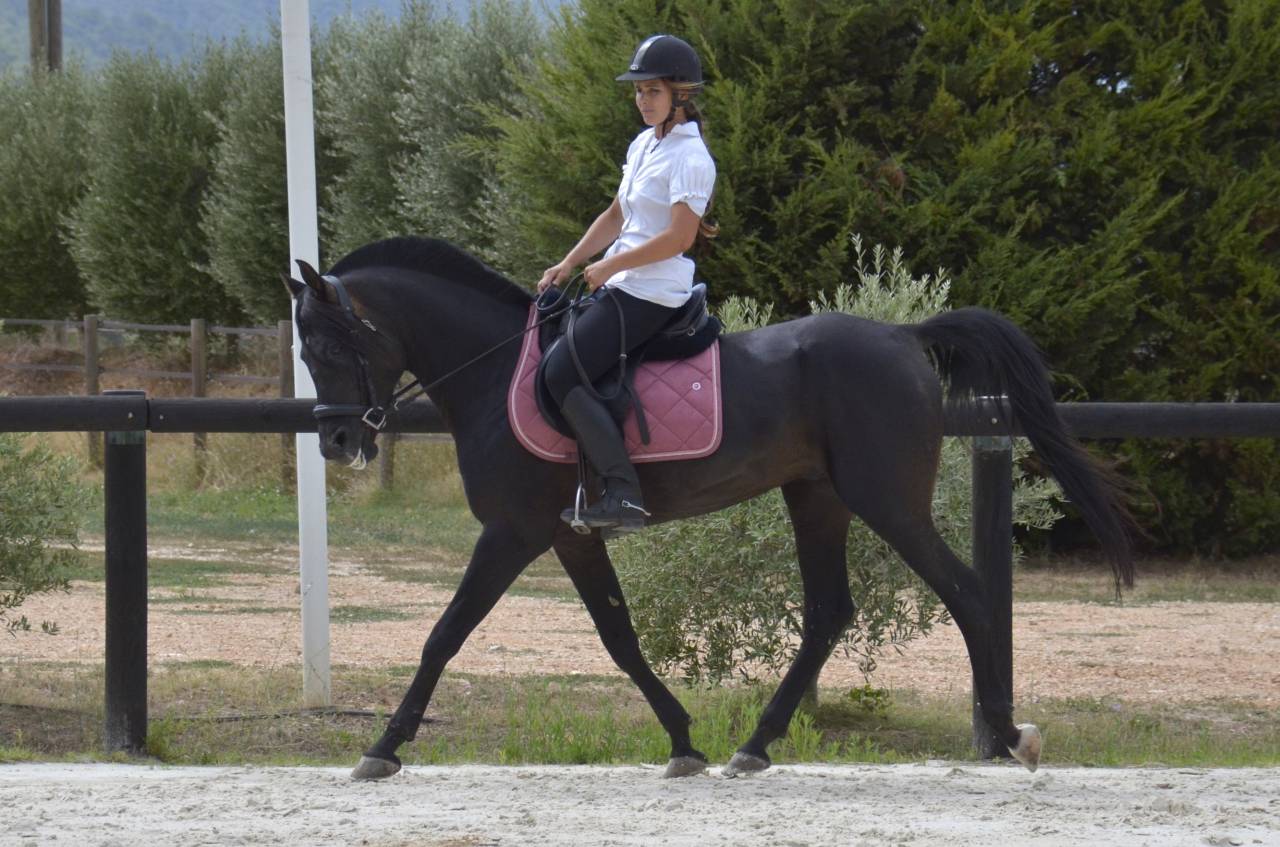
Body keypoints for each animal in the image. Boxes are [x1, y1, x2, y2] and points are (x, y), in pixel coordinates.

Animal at [283, 235, 1132, 781]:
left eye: (324, 348)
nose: (335, 441)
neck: (496, 372)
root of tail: (901, 335)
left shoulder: (514, 531)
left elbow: (443, 634)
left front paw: (384, 746)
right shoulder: (570, 535)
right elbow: (619, 637)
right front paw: (683, 739)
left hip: (887, 499)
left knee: (966, 593)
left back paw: (1009, 735)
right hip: (816, 496)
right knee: (829, 610)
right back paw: (755, 745)